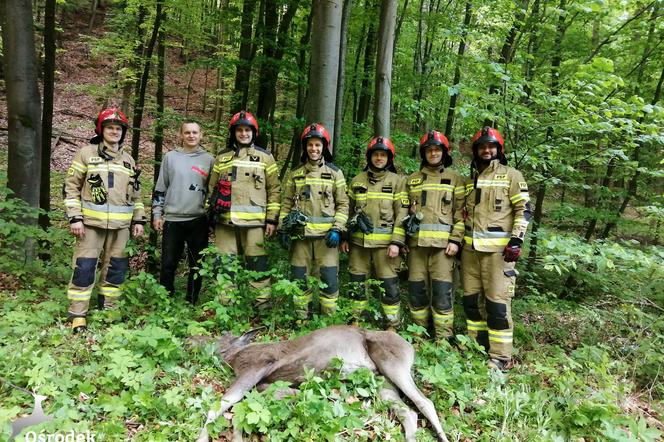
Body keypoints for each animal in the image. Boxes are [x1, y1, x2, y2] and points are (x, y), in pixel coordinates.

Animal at [195, 324, 448, 442]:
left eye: (221, 336)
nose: (192, 339)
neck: (233, 359)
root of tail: (411, 348)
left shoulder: (256, 366)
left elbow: (221, 404)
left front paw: (201, 437)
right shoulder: (267, 385)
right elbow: (242, 408)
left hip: (394, 364)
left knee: (424, 402)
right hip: (382, 381)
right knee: (408, 412)